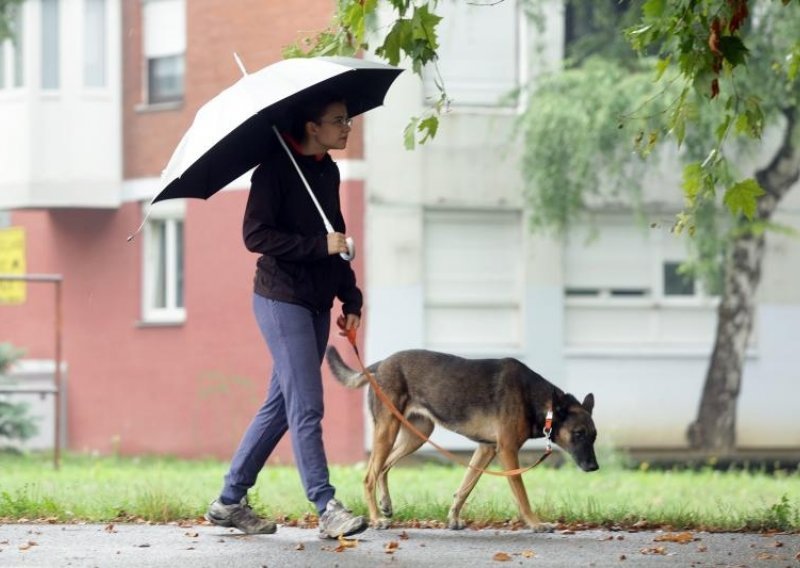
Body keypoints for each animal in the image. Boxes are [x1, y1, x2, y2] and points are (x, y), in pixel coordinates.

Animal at [326, 346, 600, 532]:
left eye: (594, 436)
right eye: (578, 434)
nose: (594, 467)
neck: (540, 402)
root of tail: (381, 364)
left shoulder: (487, 449)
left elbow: (466, 487)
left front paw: (453, 517)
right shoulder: (508, 451)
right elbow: (521, 495)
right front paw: (535, 523)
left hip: (417, 435)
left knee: (383, 467)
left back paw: (385, 504)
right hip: (388, 430)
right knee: (369, 476)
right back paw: (375, 518)